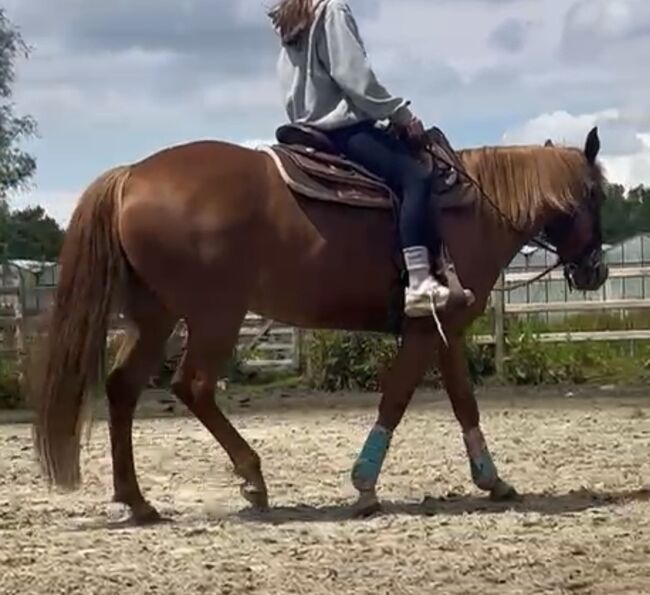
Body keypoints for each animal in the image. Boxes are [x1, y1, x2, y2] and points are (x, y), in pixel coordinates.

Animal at [30, 124, 608, 520]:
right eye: (597, 194)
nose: (596, 270)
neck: (474, 209)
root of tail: (130, 176)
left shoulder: (446, 328)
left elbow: (464, 402)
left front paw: (493, 481)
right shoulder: (425, 331)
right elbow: (396, 398)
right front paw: (365, 486)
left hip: (156, 316)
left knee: (123, 389)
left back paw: (137, 500)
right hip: (215, 315)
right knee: (191, 386)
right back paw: (252, 478)